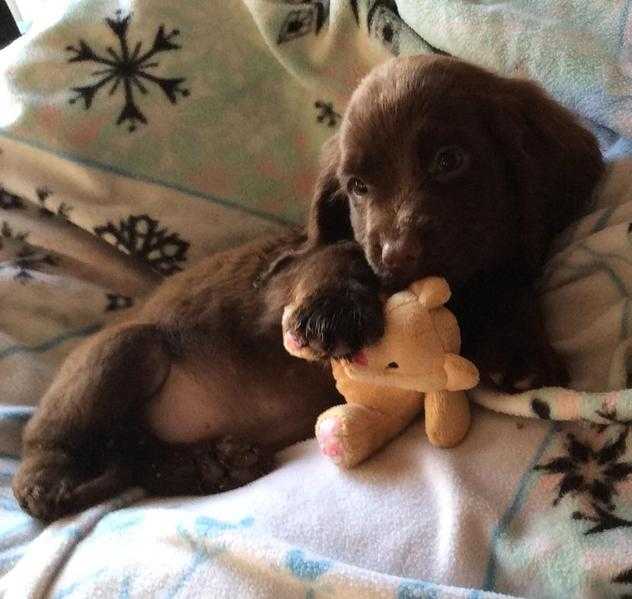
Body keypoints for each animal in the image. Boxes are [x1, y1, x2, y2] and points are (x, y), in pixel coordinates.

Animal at [11, 56, 604, 520]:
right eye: (357, 187)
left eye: (450, 160)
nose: (396, 259)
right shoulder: (280, 286)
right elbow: (338, 250)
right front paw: (333, 309)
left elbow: (509, 284)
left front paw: (521, 346)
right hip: (126, 349)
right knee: (44, 474)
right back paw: (73, 481)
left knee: (137, 459)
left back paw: (213, 464)